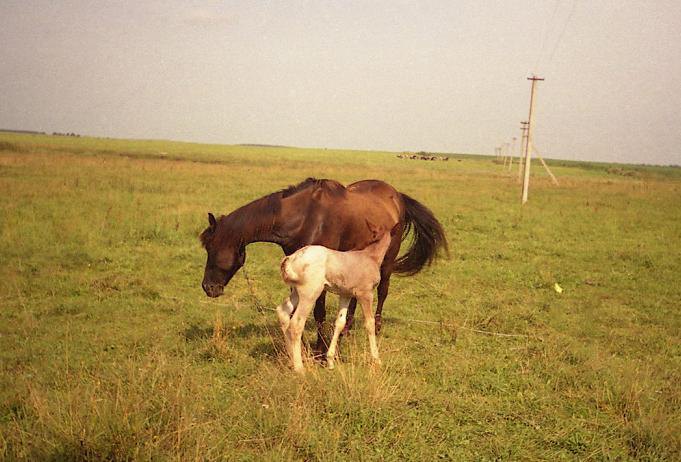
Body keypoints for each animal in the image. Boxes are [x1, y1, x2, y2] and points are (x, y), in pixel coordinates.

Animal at [199, 178, 448, 354]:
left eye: (211, 248)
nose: (208, 288)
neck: (304, 217)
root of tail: (397, 196)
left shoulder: (317, 276)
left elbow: (318, 311)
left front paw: (320, 349)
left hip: (386, 264)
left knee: (383, 292)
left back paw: (376, 326)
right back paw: (346, 329)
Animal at [274, 224, 394, 372]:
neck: (371, 256)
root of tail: (291, 259)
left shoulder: (345, 295)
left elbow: (340, 323)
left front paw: (330, 361)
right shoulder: (365, 293)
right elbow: (370, 323)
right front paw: (377, 360)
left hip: (296, 291)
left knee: (283, 311)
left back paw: (292, 360)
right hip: (310, 293)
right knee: (296, 322)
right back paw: (299, 367)